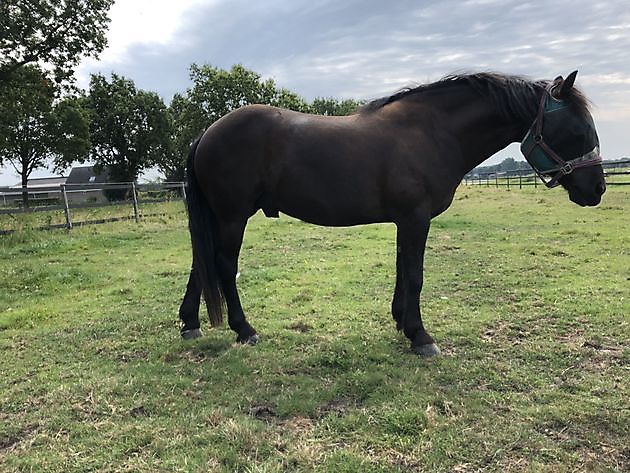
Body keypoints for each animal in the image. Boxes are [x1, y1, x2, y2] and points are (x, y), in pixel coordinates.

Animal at [178, 71, 608, 354]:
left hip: (219, 218)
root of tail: (206, 133)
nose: (597, 190)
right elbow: (415, 275)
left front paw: (402, 321)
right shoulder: (416, 218)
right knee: (223, 267)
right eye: (576, 130)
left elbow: (403, 271)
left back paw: (190, 325)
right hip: (233, 217)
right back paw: (244, 329)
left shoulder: (406, 221)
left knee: (201, 264)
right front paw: (421, 337)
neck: (432, 131)